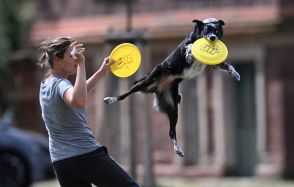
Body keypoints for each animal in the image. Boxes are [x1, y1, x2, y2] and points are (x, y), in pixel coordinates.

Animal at [104, 17, 240, 158]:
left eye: (217, 31)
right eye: (206, 31)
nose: (212, 38)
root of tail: (159, 87)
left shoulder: (215, 64)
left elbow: (228, 66)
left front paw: (235, 74)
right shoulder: (187, 49)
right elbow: (189, 48)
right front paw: (190, 52)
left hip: (173, 108)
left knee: (171, 132)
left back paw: (178, 149)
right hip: (146, 82)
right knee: (126, 93)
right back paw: (111, 99)